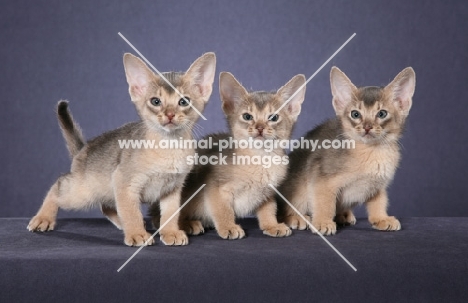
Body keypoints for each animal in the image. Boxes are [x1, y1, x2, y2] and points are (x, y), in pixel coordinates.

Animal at [29, 52, 218, 247]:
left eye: (184, 101)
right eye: (155, 101)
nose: (170, 114)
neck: (169, 146)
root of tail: (83, 149)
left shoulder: (172, 188)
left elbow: (170, 213)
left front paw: (170, 232)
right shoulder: (123, 181)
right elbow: (131, 211)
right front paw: (137, 234)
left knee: (106, 205)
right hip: (83, 192)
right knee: (58, 185)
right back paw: (43, 218)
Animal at [157, 73, 308, 240]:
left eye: (274, 117)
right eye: (247, 116)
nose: (260, 128)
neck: (261, 159)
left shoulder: (268, 192)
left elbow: (269, 210)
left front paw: (272, 225)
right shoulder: (214, 186)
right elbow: (223, 210)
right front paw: (228, 227)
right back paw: (188, 224)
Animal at [276, 66, 414, 236]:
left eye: (382, 114)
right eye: (355, 114)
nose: (367, 127)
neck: (371, 151)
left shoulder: (378, 184)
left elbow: (379, 202)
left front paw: (381, 218)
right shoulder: (321, 175)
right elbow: (325, 203)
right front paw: (323, 222)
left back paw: (343, 215)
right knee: (281, 212)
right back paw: (298, 218)